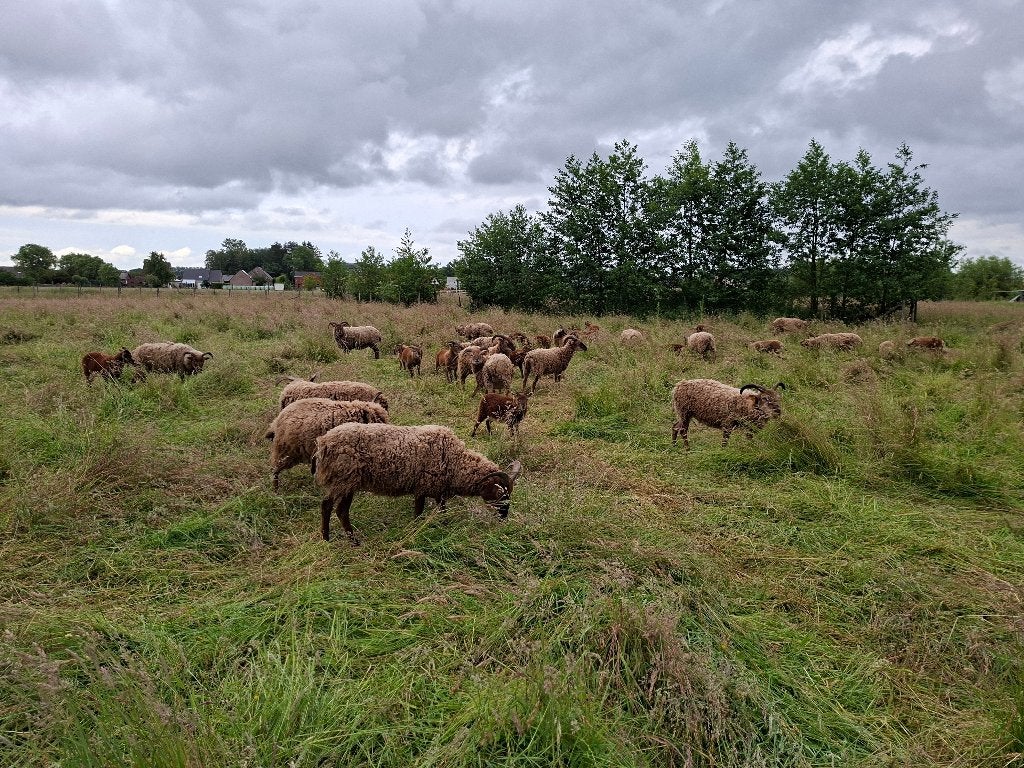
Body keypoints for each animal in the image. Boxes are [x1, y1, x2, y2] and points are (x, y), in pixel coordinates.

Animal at [313, 423, 523, 542]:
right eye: (502, 495)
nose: (504, 517)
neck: (455, 460)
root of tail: (323, 443)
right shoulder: (422, 488)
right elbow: (418, 513)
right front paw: (416, 530)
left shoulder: (438, 491)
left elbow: (442, 511)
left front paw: (443, 526)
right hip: (344, 480)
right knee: (330, 506)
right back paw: (336, 539)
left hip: (347, 483)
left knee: (338, 510)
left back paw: (339, 538)